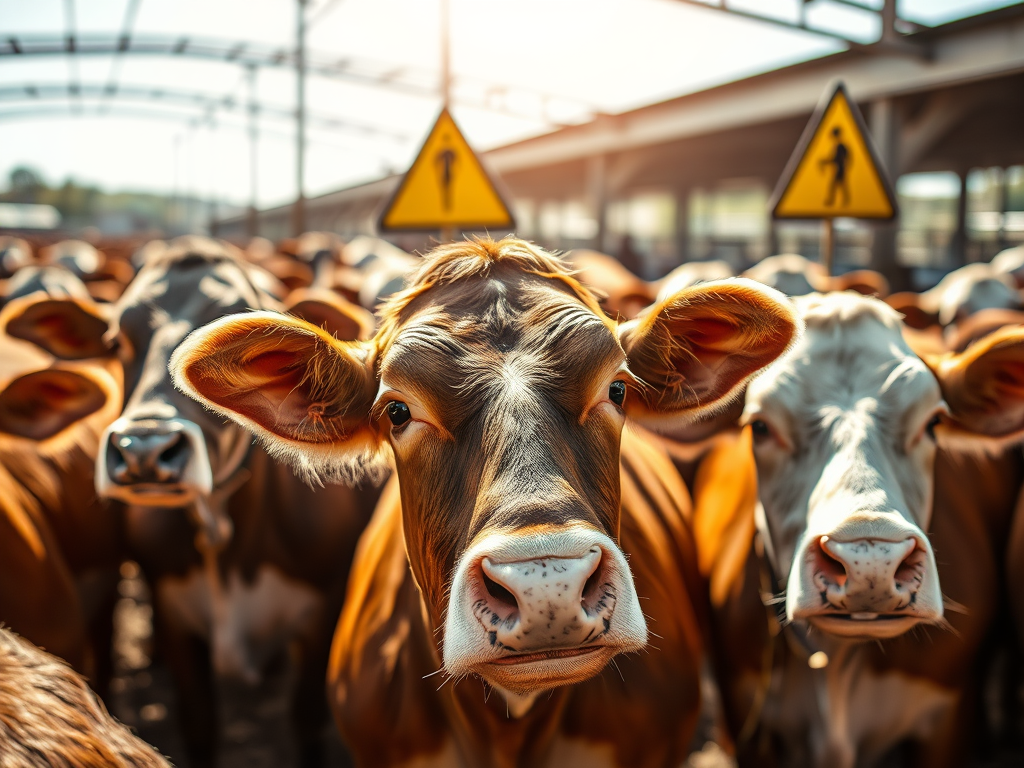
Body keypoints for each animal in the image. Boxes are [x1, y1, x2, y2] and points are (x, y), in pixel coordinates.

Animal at [94, 235, 381, 767]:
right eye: (116, 341)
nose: (144, 450)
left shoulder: (324, 610)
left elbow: (306, 718)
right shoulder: (172, 614)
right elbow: (199, 723)